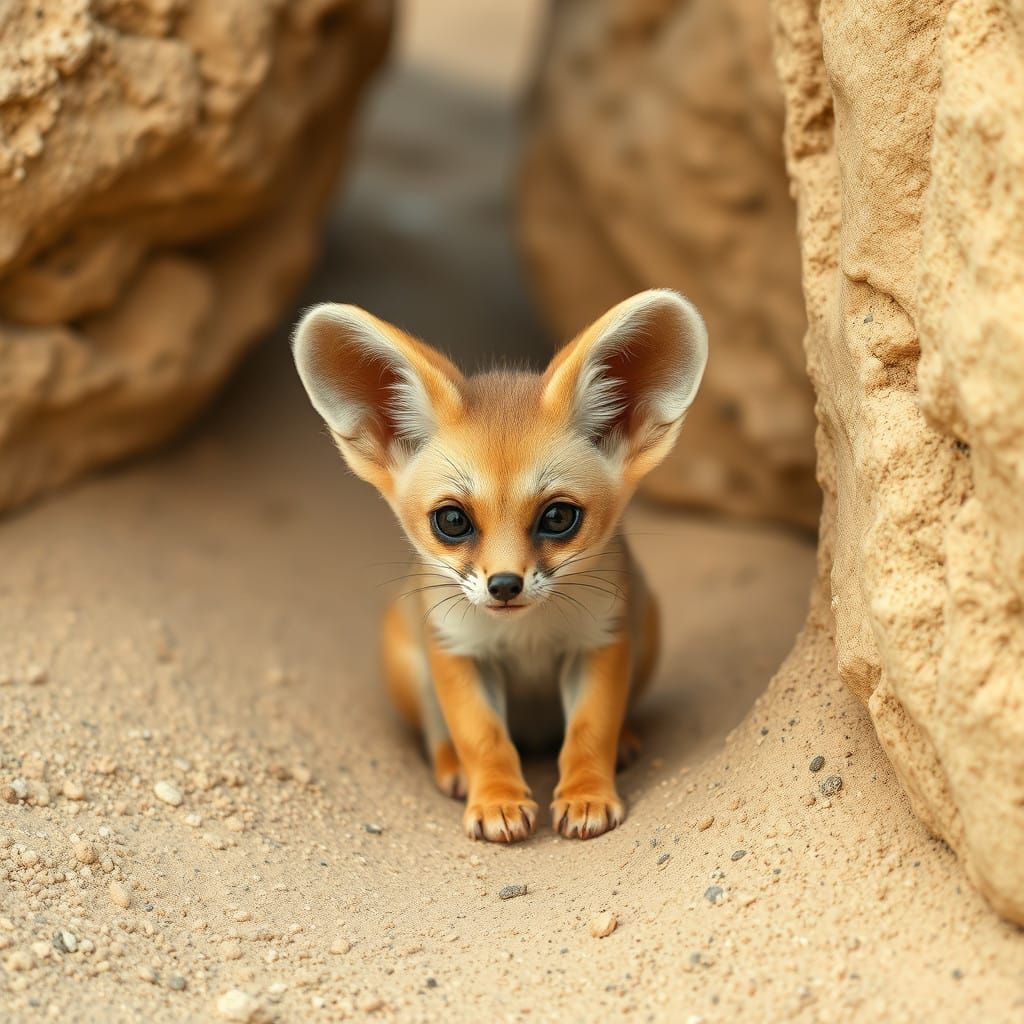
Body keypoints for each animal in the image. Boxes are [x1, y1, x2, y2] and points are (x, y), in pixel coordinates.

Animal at [292, 289, 707, 842]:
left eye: (558, 516)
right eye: (453, 520)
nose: (505, 584)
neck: (525, 638)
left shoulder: (600, 640)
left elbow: (590, 731)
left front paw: (586, 794)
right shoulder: (457, 649)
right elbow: (482, 737)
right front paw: (497, 800)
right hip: (407, 662)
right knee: (436, 732)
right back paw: (452, 768)